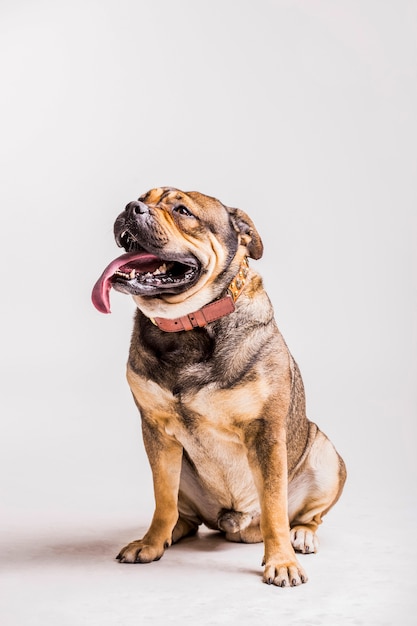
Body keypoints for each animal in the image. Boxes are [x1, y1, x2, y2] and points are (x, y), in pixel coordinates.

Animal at [92, 186, 346, 584]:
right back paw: (174, 532)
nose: (132, 207)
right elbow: (162, 499)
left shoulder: (265, 433)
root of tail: (235, 523)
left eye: (183, 211)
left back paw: (301, 535)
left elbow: (275, 507)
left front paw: (282, 561)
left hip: (325, 456)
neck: (187, 325)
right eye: (142, 197)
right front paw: (151, 543)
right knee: (182, 512)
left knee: (306, 515)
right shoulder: (156, 433)